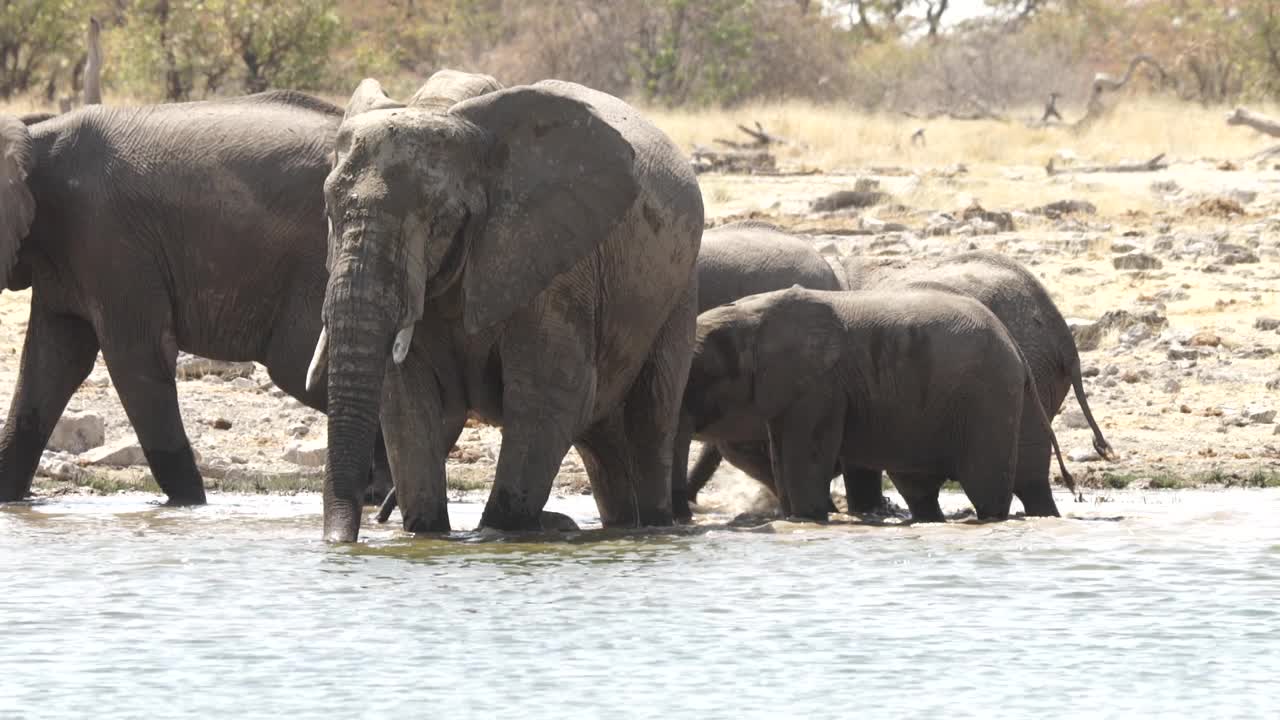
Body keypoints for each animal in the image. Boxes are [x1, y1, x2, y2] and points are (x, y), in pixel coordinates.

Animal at [0, 71, 494, 504]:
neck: (35, 136)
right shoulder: (69, 258)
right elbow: (52, 361)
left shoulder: (109, 241)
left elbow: (135, 358)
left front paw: (190, 506)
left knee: (301, 367)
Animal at [311, 78, 706, 538]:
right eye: (329, 211)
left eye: (439, 219)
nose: (340, 543)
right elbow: (406, 403)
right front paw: (426, 533)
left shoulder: (557, 266)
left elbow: (549, 394)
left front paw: (500, 533)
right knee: (602, 443)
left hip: (679, 291)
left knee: (651, 416)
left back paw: (655, 526)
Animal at [686, 285, 1075, 520]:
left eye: (699, 373)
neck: (753, 314)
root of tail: (1013, 345)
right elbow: (783, 461)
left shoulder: (820, 386)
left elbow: (803, 464)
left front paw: (810, 519)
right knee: (925, 492)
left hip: (988, 397)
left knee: (988, 490)